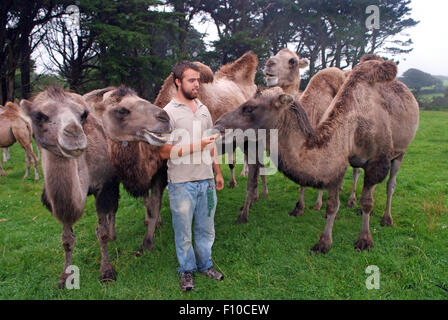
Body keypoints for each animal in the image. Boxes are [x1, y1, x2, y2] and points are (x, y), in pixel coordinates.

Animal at [84, 85, 173, 252]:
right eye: (122, 110)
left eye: (142, 99)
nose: (165, 118)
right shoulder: (123, 178)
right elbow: (141, 203)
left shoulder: (160, 174)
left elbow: (153, 205)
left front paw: (147, 244)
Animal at [215, 57, 418, 252]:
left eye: (250, 108)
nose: (218, 124)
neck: (353, 125)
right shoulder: (337, 161)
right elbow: (332, 204)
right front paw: (324, 241)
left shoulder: (376, 162)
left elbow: (368, 201)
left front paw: (364, 239)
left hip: (400, 153)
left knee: (390, 184)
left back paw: (386, 218)